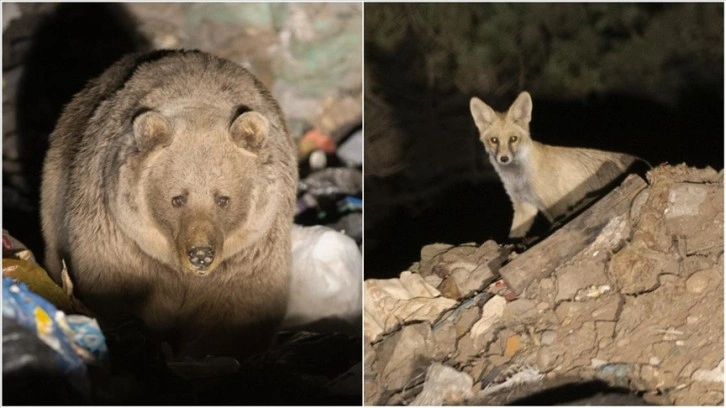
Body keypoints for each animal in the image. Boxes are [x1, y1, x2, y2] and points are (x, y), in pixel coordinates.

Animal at [40, 50, 298, 356]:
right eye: (177, 198)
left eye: (223, 198)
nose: (201, 254)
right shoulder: (123, 238)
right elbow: (117, 288)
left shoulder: (251, 248)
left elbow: (238, 307)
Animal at [472, 91, 636, 239]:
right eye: (494, 140)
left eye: (513, 139)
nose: (504, 158)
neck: (520, 179)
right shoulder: (524, 206)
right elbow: (513, 236)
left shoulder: (556, 206)